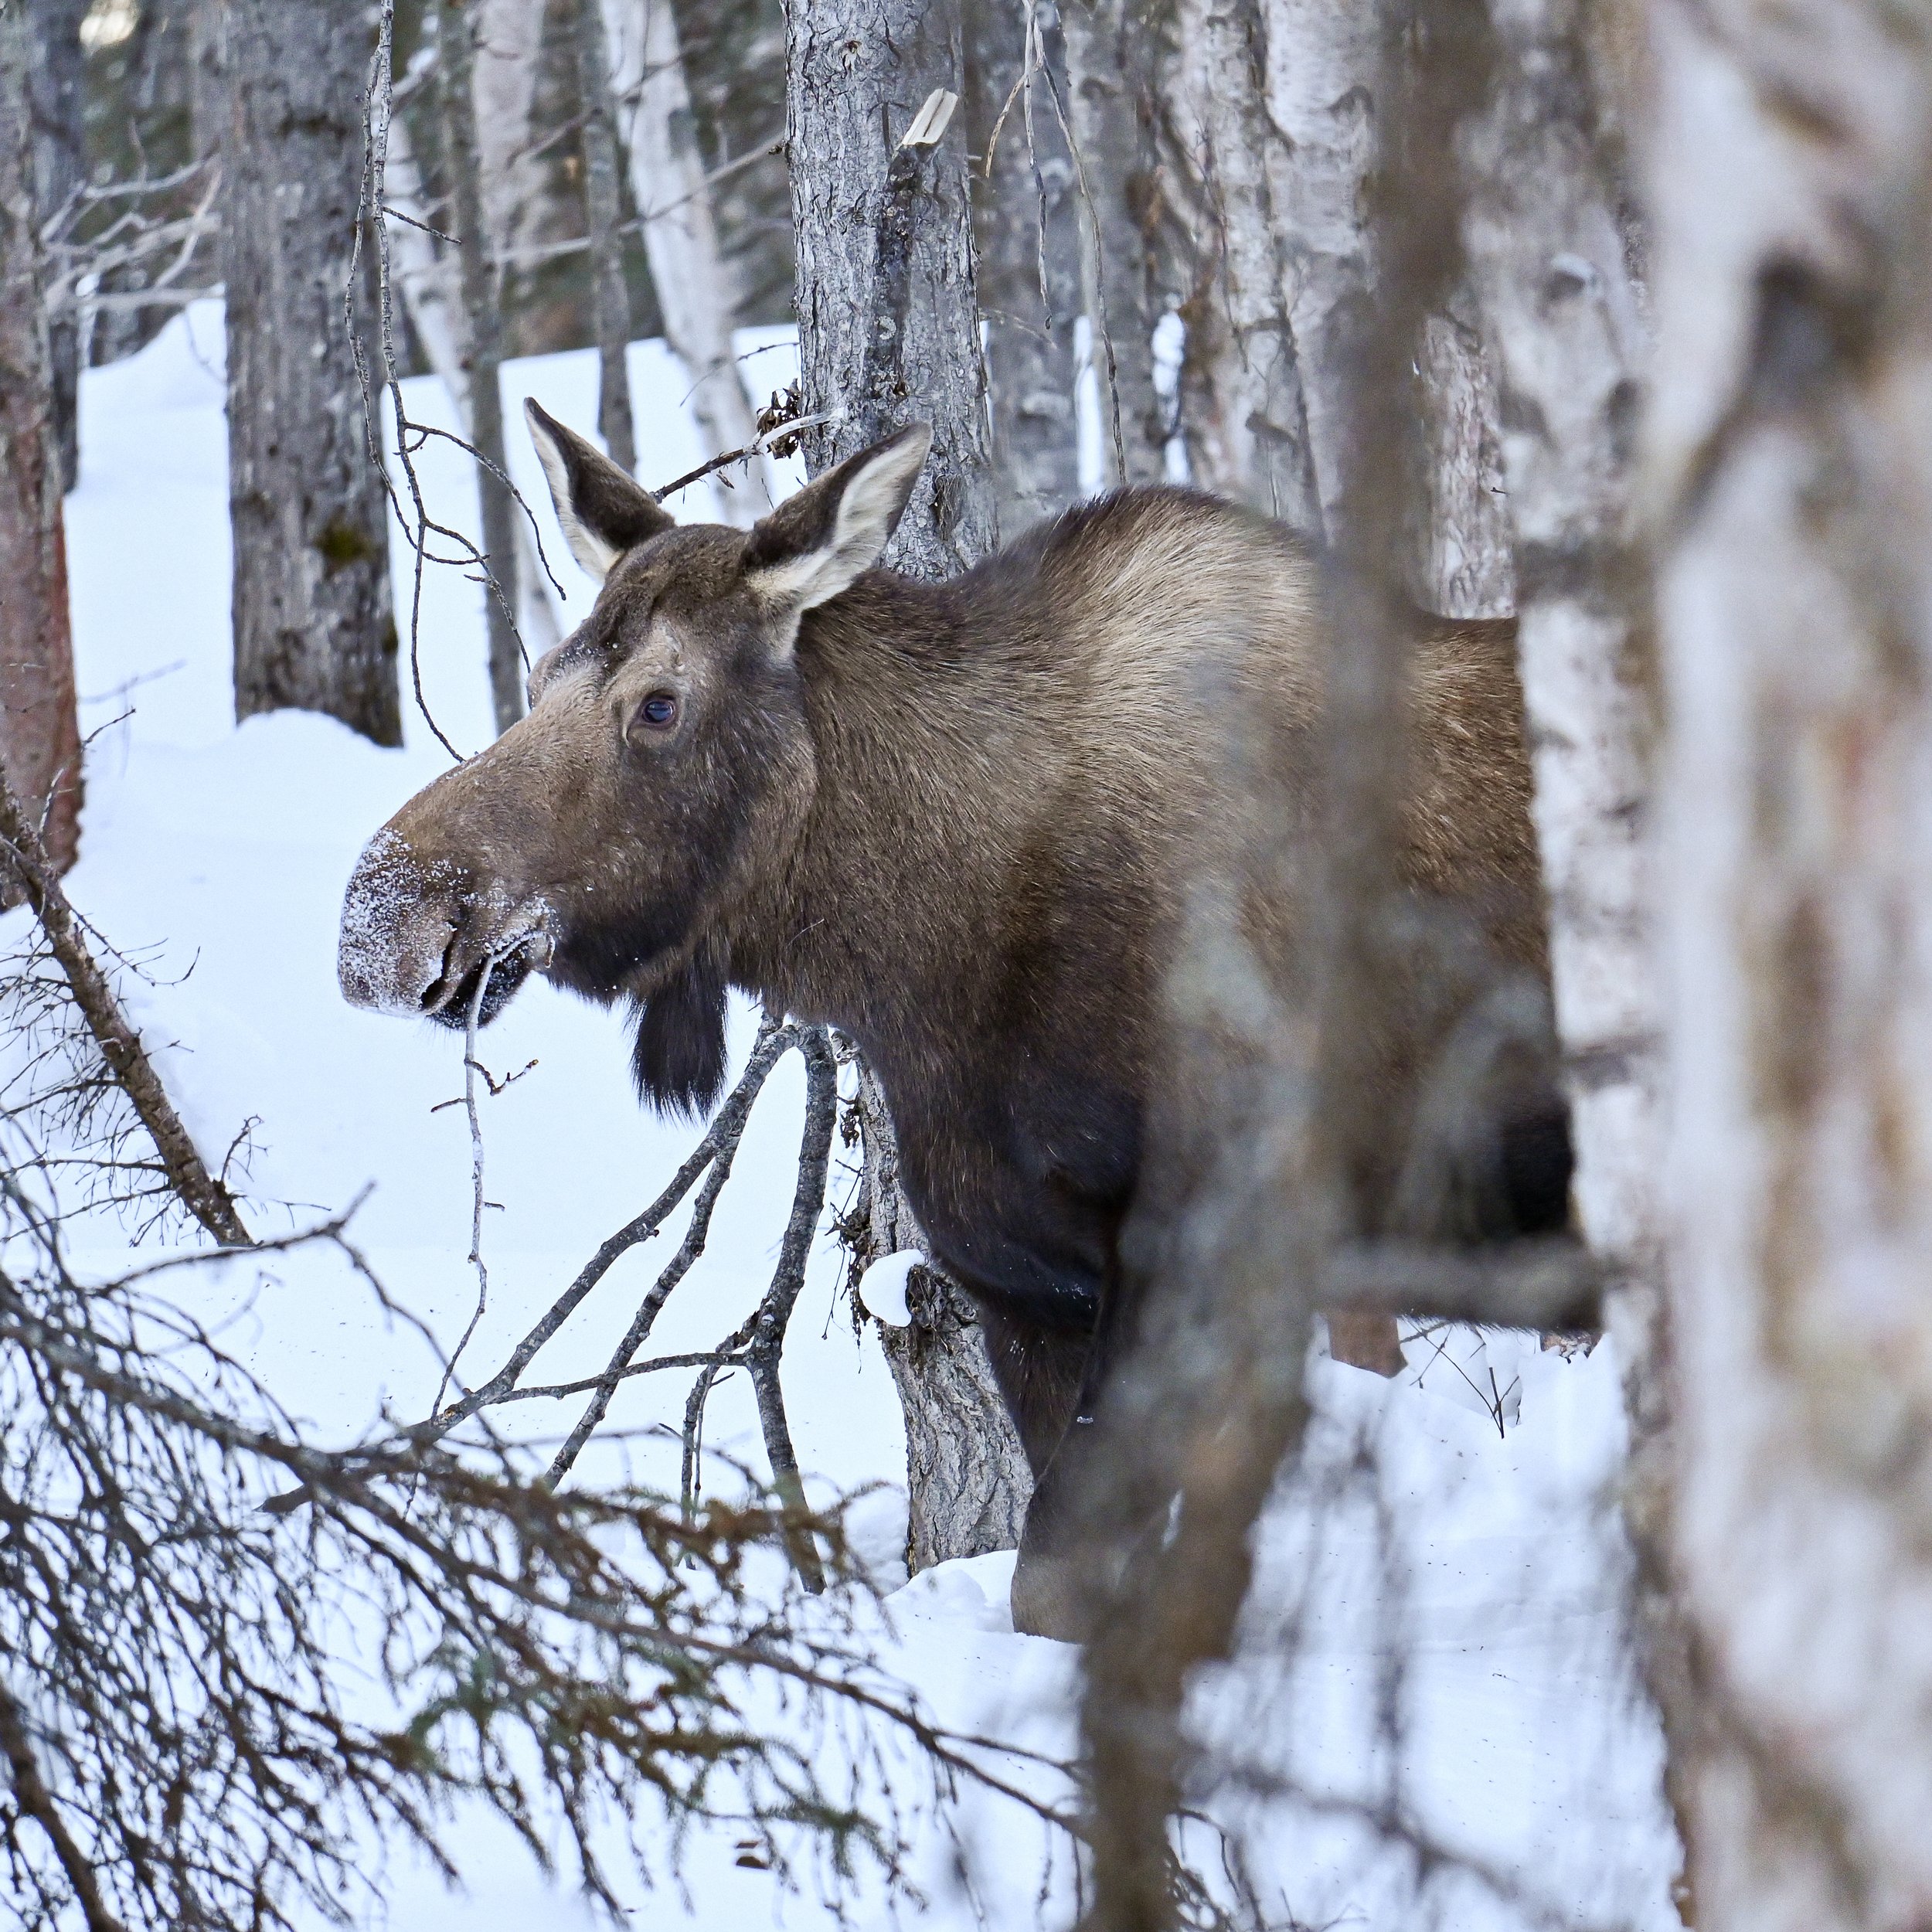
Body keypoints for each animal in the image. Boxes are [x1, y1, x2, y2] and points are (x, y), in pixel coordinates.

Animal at [337, 402, 1571, 1638]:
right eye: (542, 674)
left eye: (657, 702)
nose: (377, 922)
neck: (919, 972)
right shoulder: (1026, 1285)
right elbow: (1061, 1591)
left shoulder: (1203, 1253)